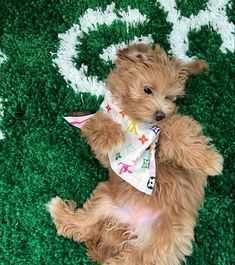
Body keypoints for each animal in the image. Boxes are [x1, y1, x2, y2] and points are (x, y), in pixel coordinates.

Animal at [47, 44, 222, 262]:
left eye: (169, 97)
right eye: (147, 90)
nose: (160, 114)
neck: (134, 121)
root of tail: (128, 228)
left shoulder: (162, 143)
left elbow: (176, 130)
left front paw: (209, 160)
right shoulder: (109, 156)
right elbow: (97, 120)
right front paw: (109, 132)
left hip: (155, 246)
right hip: (104, 201)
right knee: (83, 224)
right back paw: (60, 212)